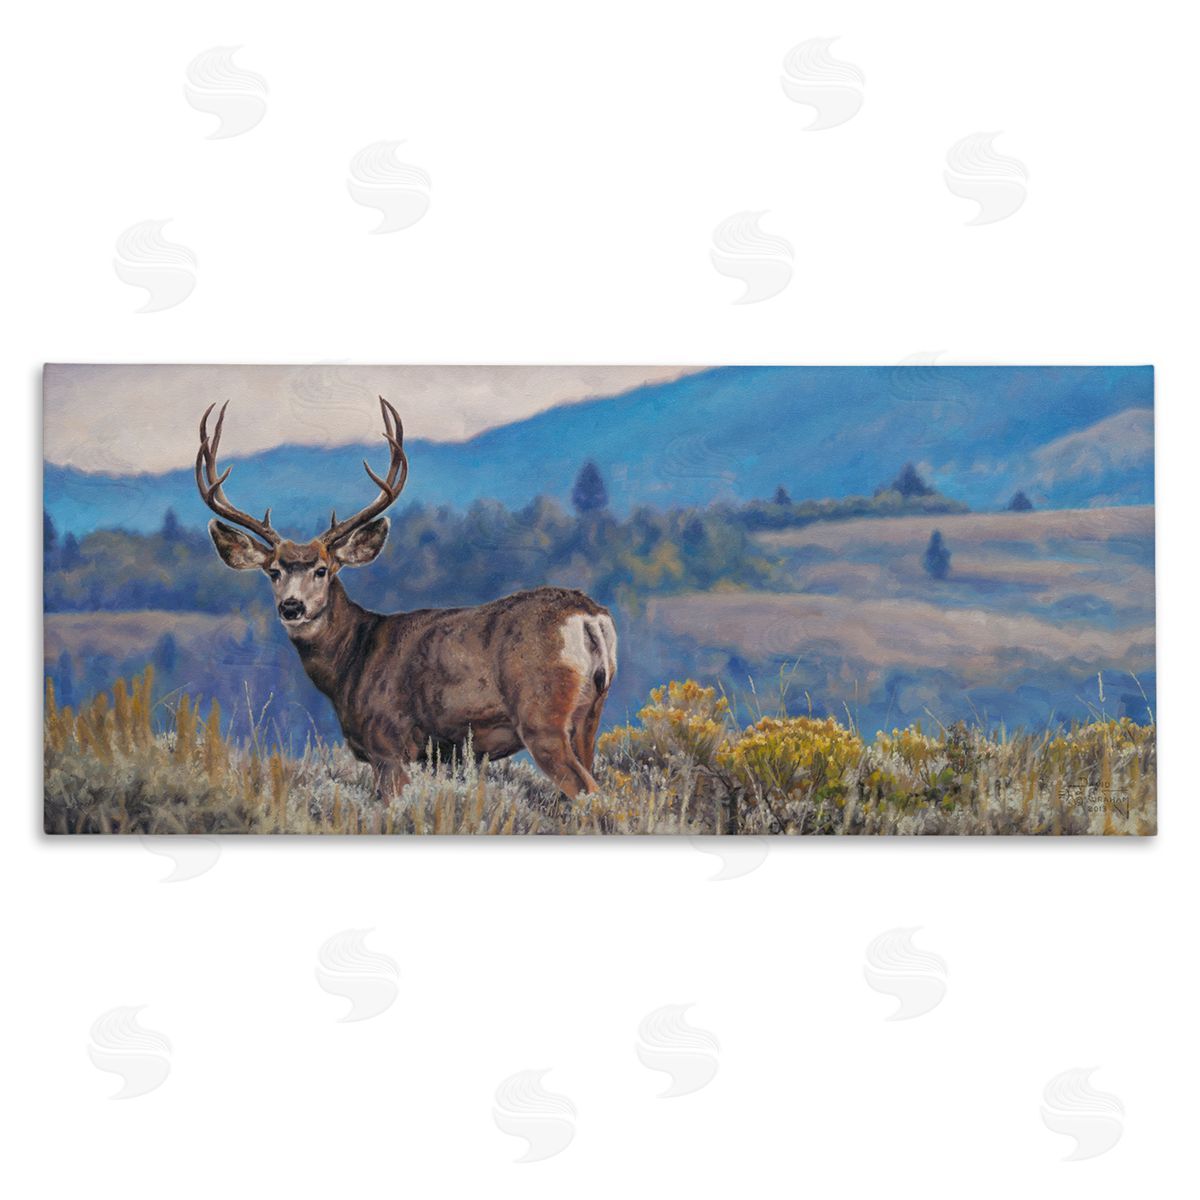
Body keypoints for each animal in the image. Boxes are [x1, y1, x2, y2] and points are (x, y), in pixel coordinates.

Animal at [196, 397, 617, 802]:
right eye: (273, 572)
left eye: (323, 570)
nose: (291, 606)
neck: (352, 660)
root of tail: (589, 616)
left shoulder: (388, 743)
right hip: (590, 715)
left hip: (541, 714)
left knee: (590, 793)